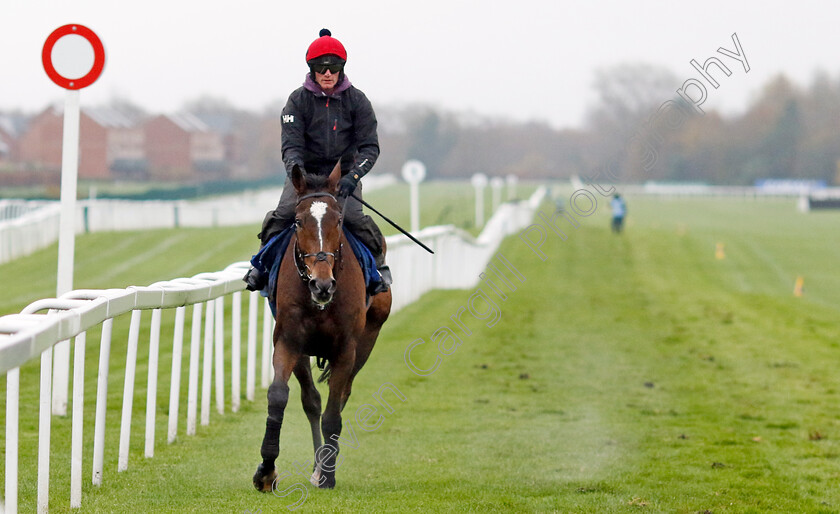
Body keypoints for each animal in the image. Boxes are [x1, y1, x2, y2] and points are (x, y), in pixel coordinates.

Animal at [253, 162, 394, 490]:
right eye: (298, 221)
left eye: (338, 220)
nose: (322, 285)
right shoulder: (289, 341)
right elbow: (280, 396)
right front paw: (267, 470)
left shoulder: (346, 349)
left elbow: (333, 413)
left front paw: (327, 474)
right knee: (312, 401)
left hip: (368, 340)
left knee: (340, 397)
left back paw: (324, 464)